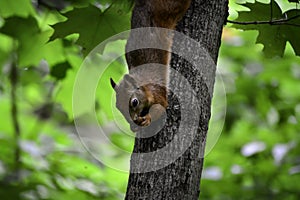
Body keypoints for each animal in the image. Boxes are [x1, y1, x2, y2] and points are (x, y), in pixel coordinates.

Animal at [110, 0, 192, 130]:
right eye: (118, 106)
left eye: (134, 102)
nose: (133, 120)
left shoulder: (157, 91)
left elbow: (161, 107)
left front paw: (147, 119)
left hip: (171, 7)